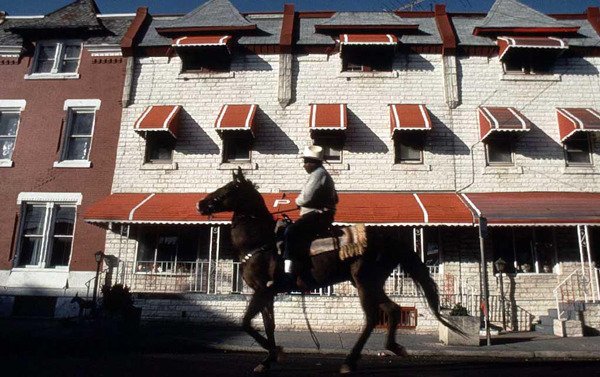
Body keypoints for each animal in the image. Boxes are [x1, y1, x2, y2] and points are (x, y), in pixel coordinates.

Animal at [198, 170, 464, 374]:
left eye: (230, 188)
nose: (201, 204)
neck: (260, 241)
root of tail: (387, 239)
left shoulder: (263, 290)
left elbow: (246, 323)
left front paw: (277, 353)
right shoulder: (267, 293)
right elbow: (267, 325)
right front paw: (268, 360)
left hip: (365, 282)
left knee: (372, 317)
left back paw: (350, 361)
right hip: (369, 283)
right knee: (391, 309)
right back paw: (393, 347)